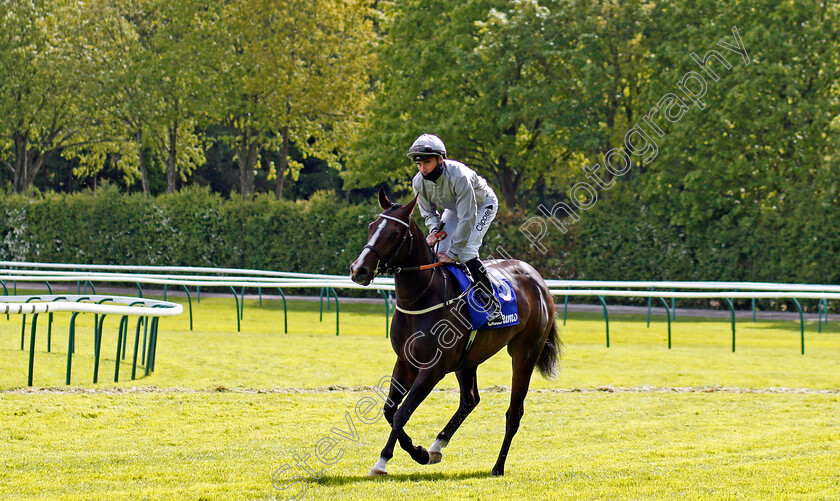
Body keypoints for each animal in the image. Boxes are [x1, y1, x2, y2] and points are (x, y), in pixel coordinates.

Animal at [352, 188, 560, 476]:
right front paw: (419, 452)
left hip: (525, 352)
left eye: (394, 233)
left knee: (514, 411)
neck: (421, 297)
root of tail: (539, 280)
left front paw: (384, 461)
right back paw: (437, 446)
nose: (358, 270)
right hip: (468, 359)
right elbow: (389, 410)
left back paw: (498, 466)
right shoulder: (405, 361)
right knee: (470, 399)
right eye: (371, 227)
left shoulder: (434, 368)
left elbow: (403, 412)